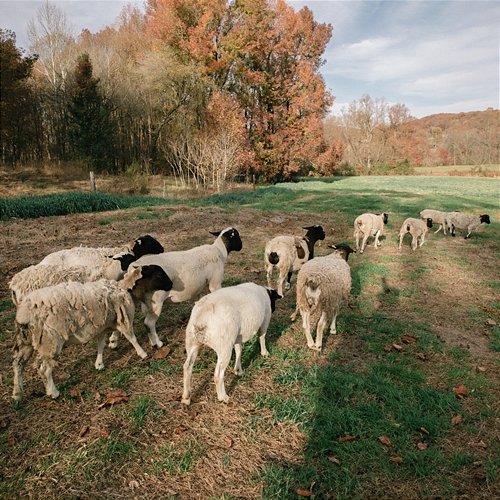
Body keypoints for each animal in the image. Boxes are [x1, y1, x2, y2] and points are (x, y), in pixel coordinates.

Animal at [11, 266, 173, 402]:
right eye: (159, 274)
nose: (171, 285)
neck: (124, 288)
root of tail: (25, 312)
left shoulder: (102, 325)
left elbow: (101, 345)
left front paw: (99, 364)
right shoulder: (123, 318)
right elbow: (131, 337)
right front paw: (142, 353)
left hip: (25, 341)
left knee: (18, 363)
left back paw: (17, 394)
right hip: (50, 340)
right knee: (43, 369)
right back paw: (53, 392)